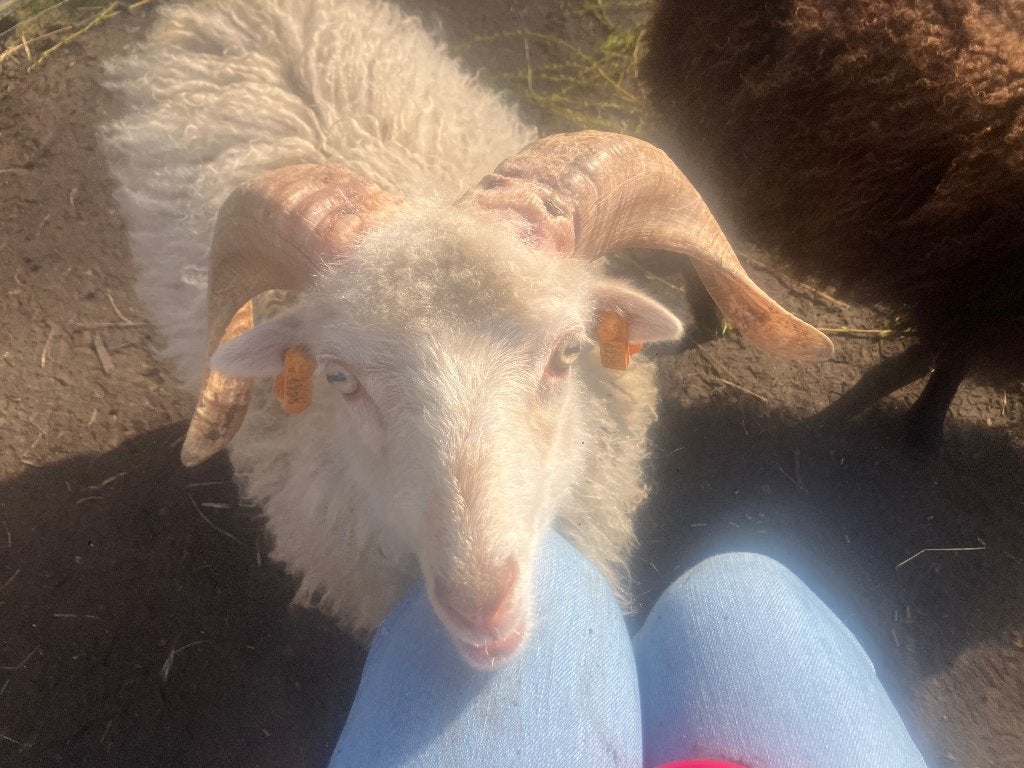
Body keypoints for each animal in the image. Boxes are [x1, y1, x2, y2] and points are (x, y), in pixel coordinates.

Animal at [641, 0, 1024, 449]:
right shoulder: (968, 298)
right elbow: (906, 370)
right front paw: (822, 429)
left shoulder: (973, 307)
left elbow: (942, 367)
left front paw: (923, 428)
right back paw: (707, 319)